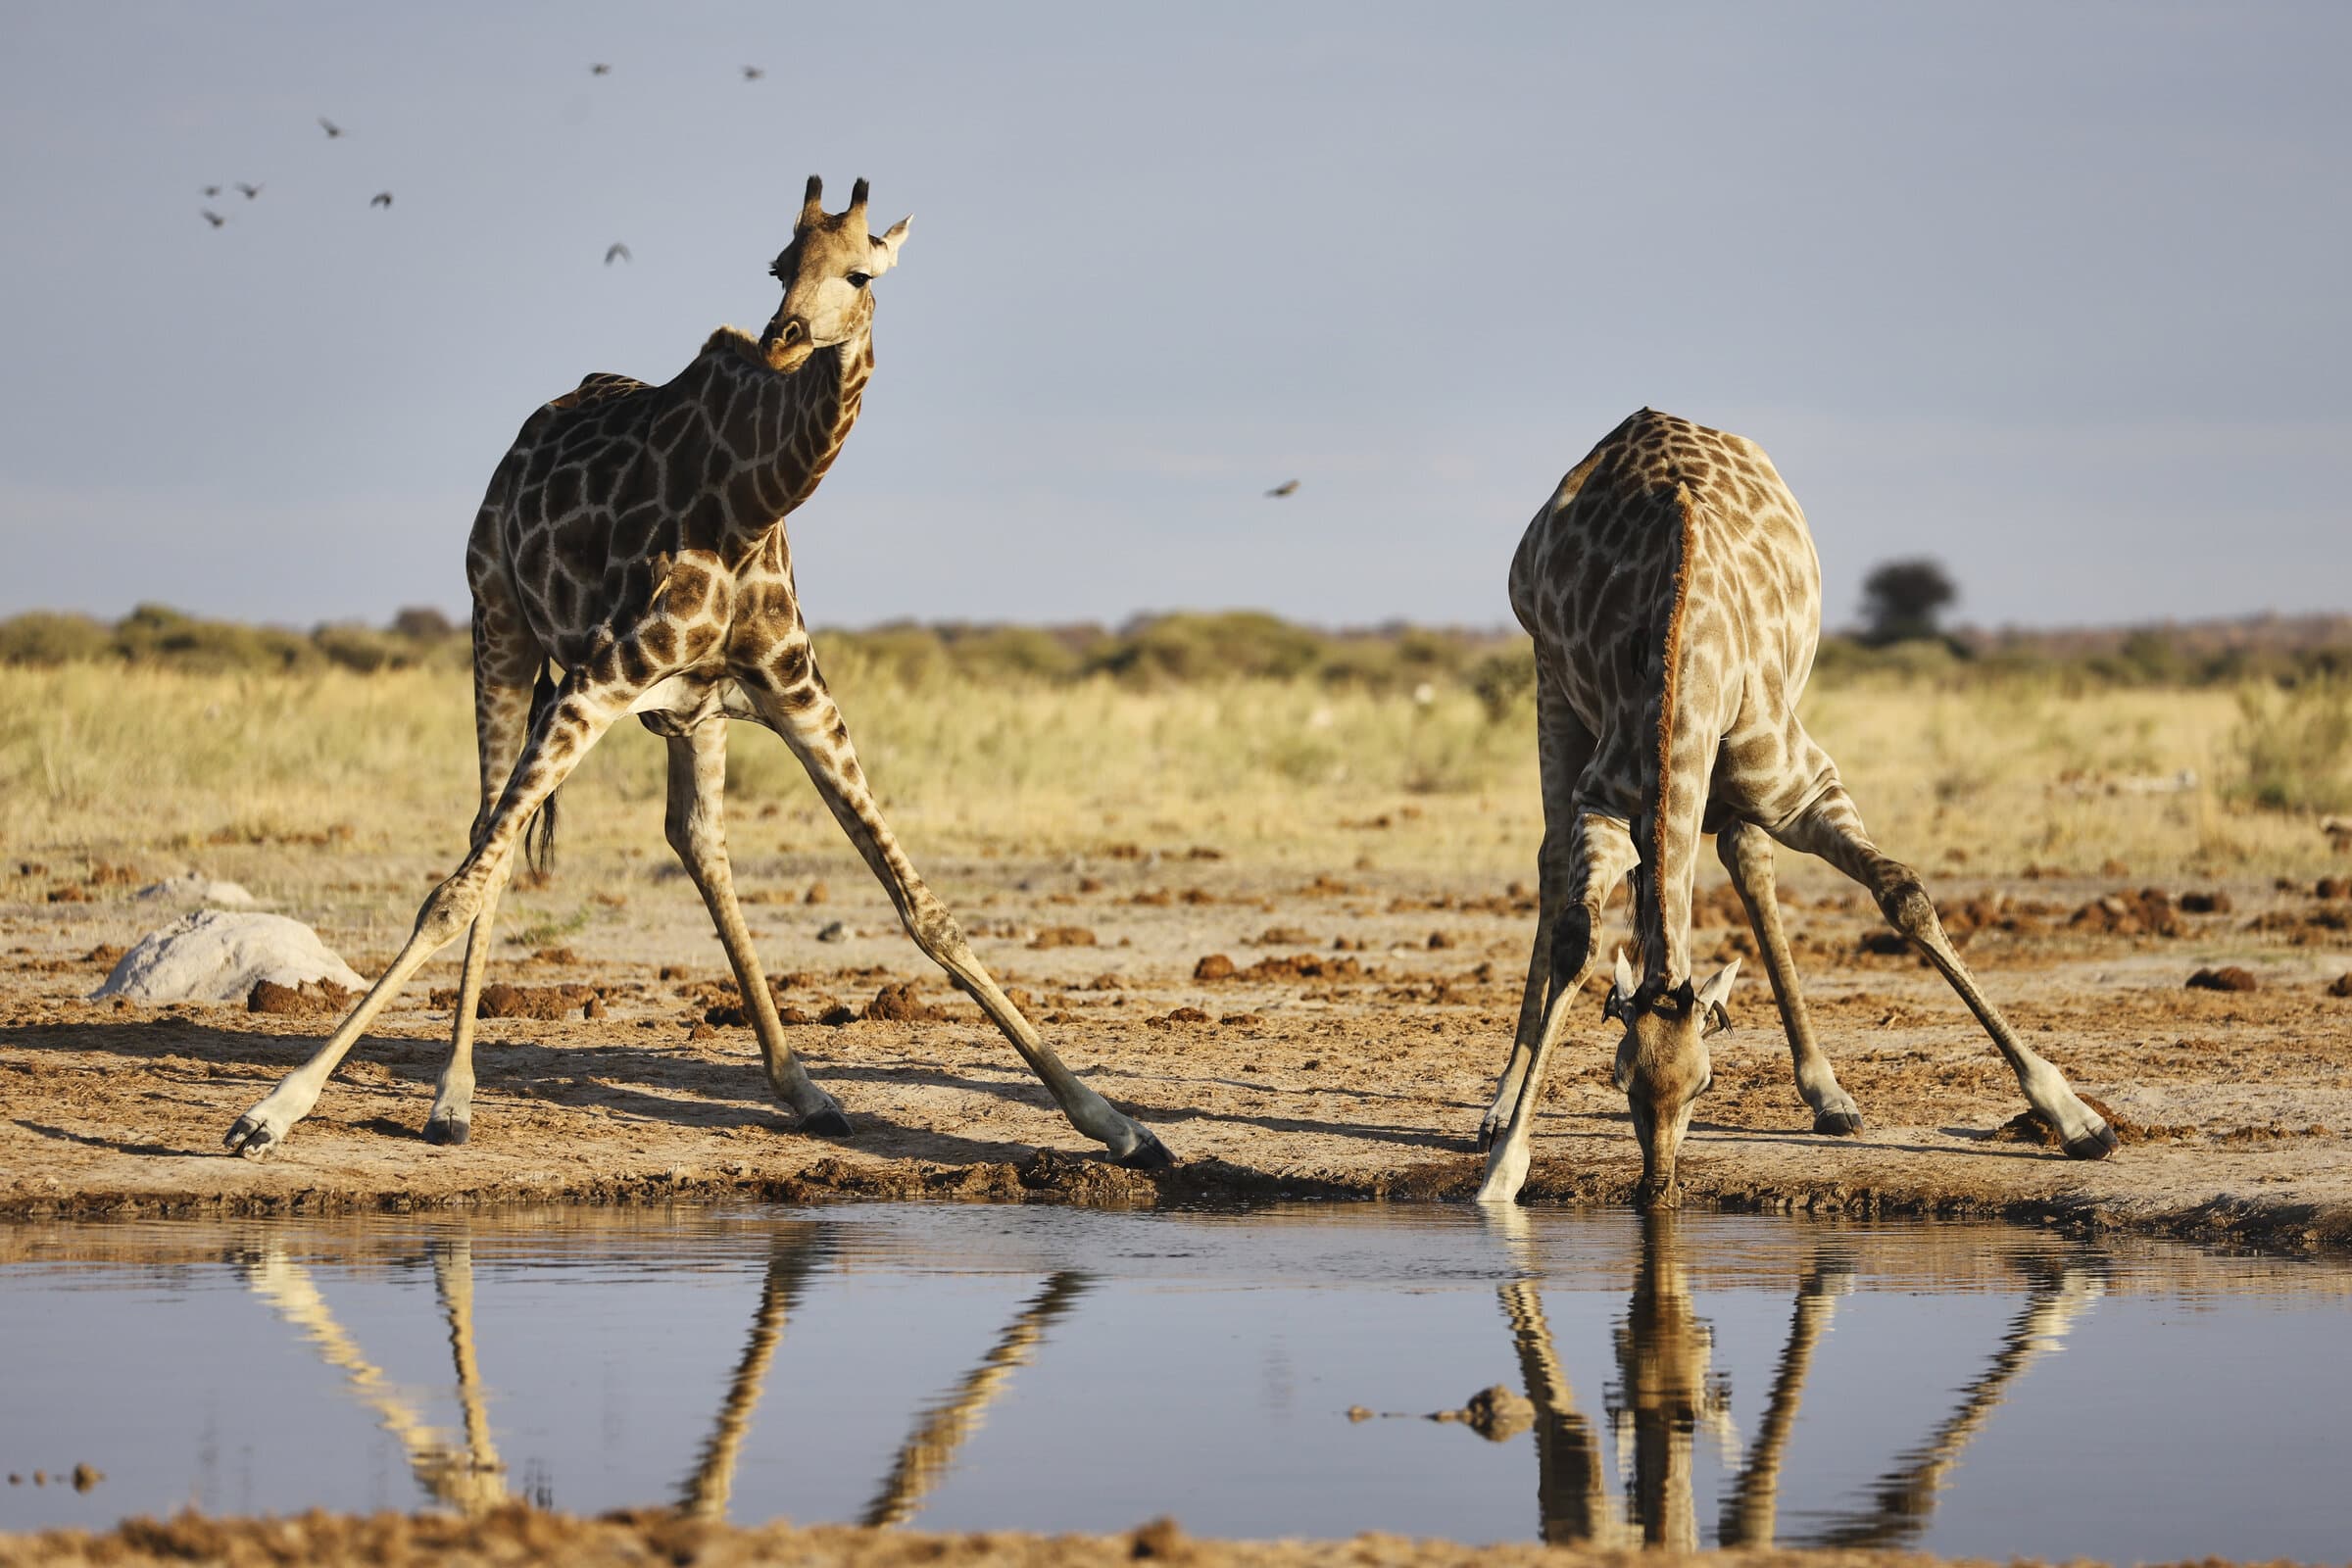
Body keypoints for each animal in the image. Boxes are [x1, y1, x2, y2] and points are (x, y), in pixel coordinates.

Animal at [223, 175, 1171, 1170]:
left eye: (862, 271)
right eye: (779, 264)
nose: (785, 335)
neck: (752, 505)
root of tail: (527, 432)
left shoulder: (798, 695)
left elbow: (923, 907)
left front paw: (1118, 1124)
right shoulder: (601, 676)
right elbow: (456, 891)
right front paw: (272, 1112)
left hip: (689, 713)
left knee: (695, 840)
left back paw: (805, 1091)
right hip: (501, 626)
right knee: (489, 837)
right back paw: (452, 1099)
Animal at [1474, 409, 2116, 1208]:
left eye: (1704, 1086)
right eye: (1620, 1080)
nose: (1659, 1188)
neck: (1688, 666)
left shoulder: (1807, 787)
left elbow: (1902, 892)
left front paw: (2077, 1117)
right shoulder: (1605, 804)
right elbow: (1577, 937)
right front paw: (1506, 1165)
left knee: (1746, 858)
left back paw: (1828, 1094)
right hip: (1548, 679)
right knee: (1554, 861)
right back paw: (1499, 1105)